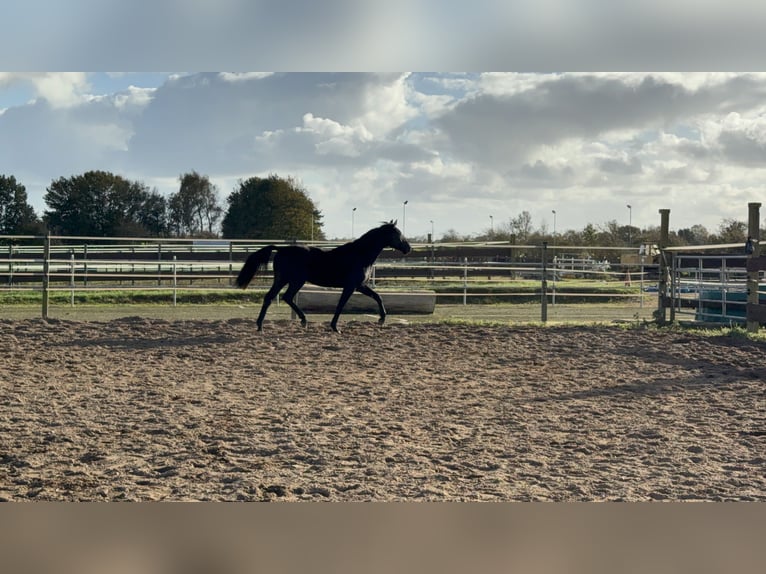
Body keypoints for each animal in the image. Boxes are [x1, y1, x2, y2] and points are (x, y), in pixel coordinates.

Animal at [235, 220, 411, 332]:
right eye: (397, 234)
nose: (408, 248)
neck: (359, 255)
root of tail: (281, 249)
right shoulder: (351, 286)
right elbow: (341, 305)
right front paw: (335, 327)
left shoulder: (360, 286)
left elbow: (378, 297)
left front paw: (382, 319)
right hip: (294, 281)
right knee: (285, 297)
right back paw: (301, 321)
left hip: (283, 280)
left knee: (272, 297)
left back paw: (262, 326)